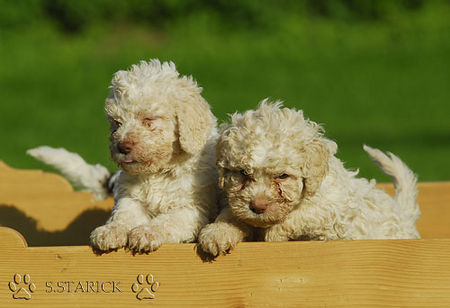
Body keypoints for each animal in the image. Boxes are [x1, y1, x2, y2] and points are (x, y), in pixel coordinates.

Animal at [27, 60, 218, 253]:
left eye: (148, 120)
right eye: (117, 123)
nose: (122, 147)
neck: (158, 172)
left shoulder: (193, 209)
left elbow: (168, 221)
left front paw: (147, 232)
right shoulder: (130, 197)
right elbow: (125, 215)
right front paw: (110, 231)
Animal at [199, 100, 420, 256]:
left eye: (283, 176)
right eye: (243, 173)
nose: (257, 207)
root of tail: (402, 211)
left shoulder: (335, 210)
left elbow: (306, 213)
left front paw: (274, 232)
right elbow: (233, 213)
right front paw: (217, 232)